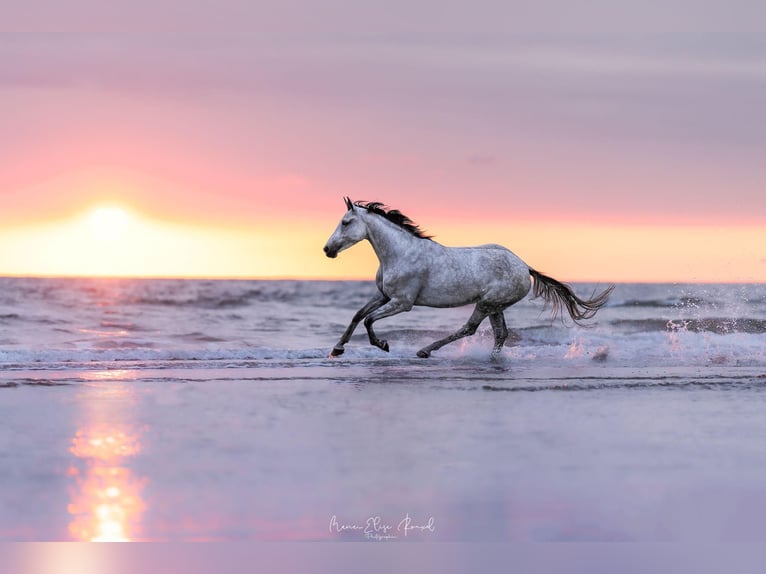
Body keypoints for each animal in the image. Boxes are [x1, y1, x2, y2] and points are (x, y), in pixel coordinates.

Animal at [324, 199, 616, 360]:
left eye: (346, 222)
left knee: (469, 329)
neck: (400, 253)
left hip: (486, 303)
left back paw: (426, 350)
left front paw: (383, 345)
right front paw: (336, 349)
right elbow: (358, 315)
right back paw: (491, 359)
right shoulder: (383, 296)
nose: (327, 250)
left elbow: (369, 320)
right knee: (500, 334)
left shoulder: (402, 303)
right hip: (496, 306)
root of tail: (525, 267)